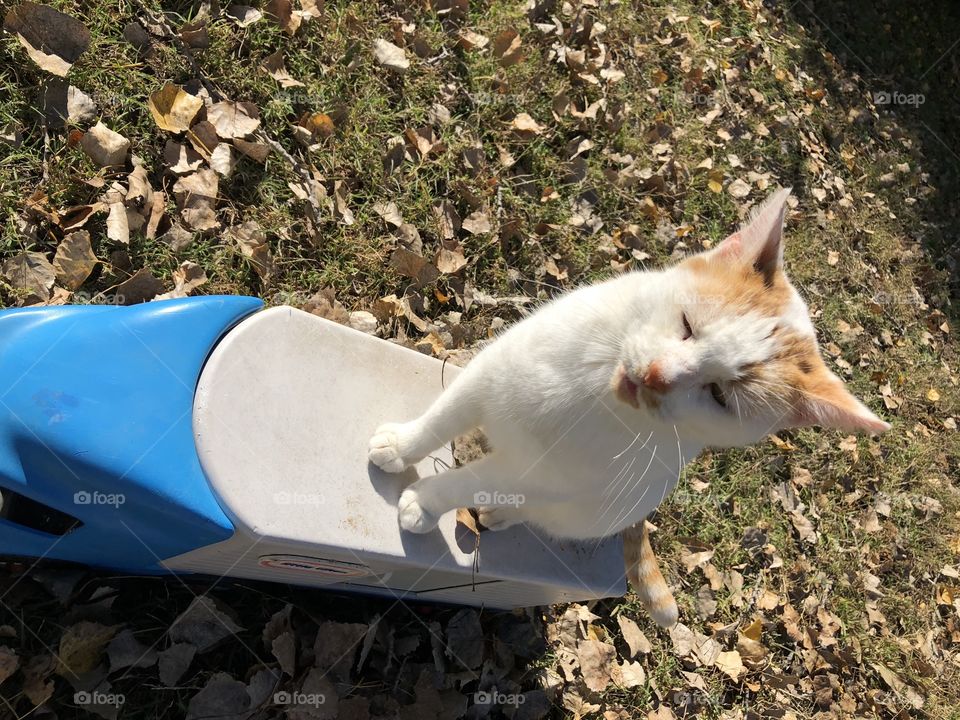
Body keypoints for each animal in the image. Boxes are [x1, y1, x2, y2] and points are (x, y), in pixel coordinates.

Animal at [366, 190, 884, 624]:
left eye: (720, 395)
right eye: (687, 325)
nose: (656, 374)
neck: (591, 391)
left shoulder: (540, 473)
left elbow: (471, 481)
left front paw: (426, 502)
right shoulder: (491, 372)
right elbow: (442, 418)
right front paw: (400, 445)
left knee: (531, 507)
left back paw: (501, 513)